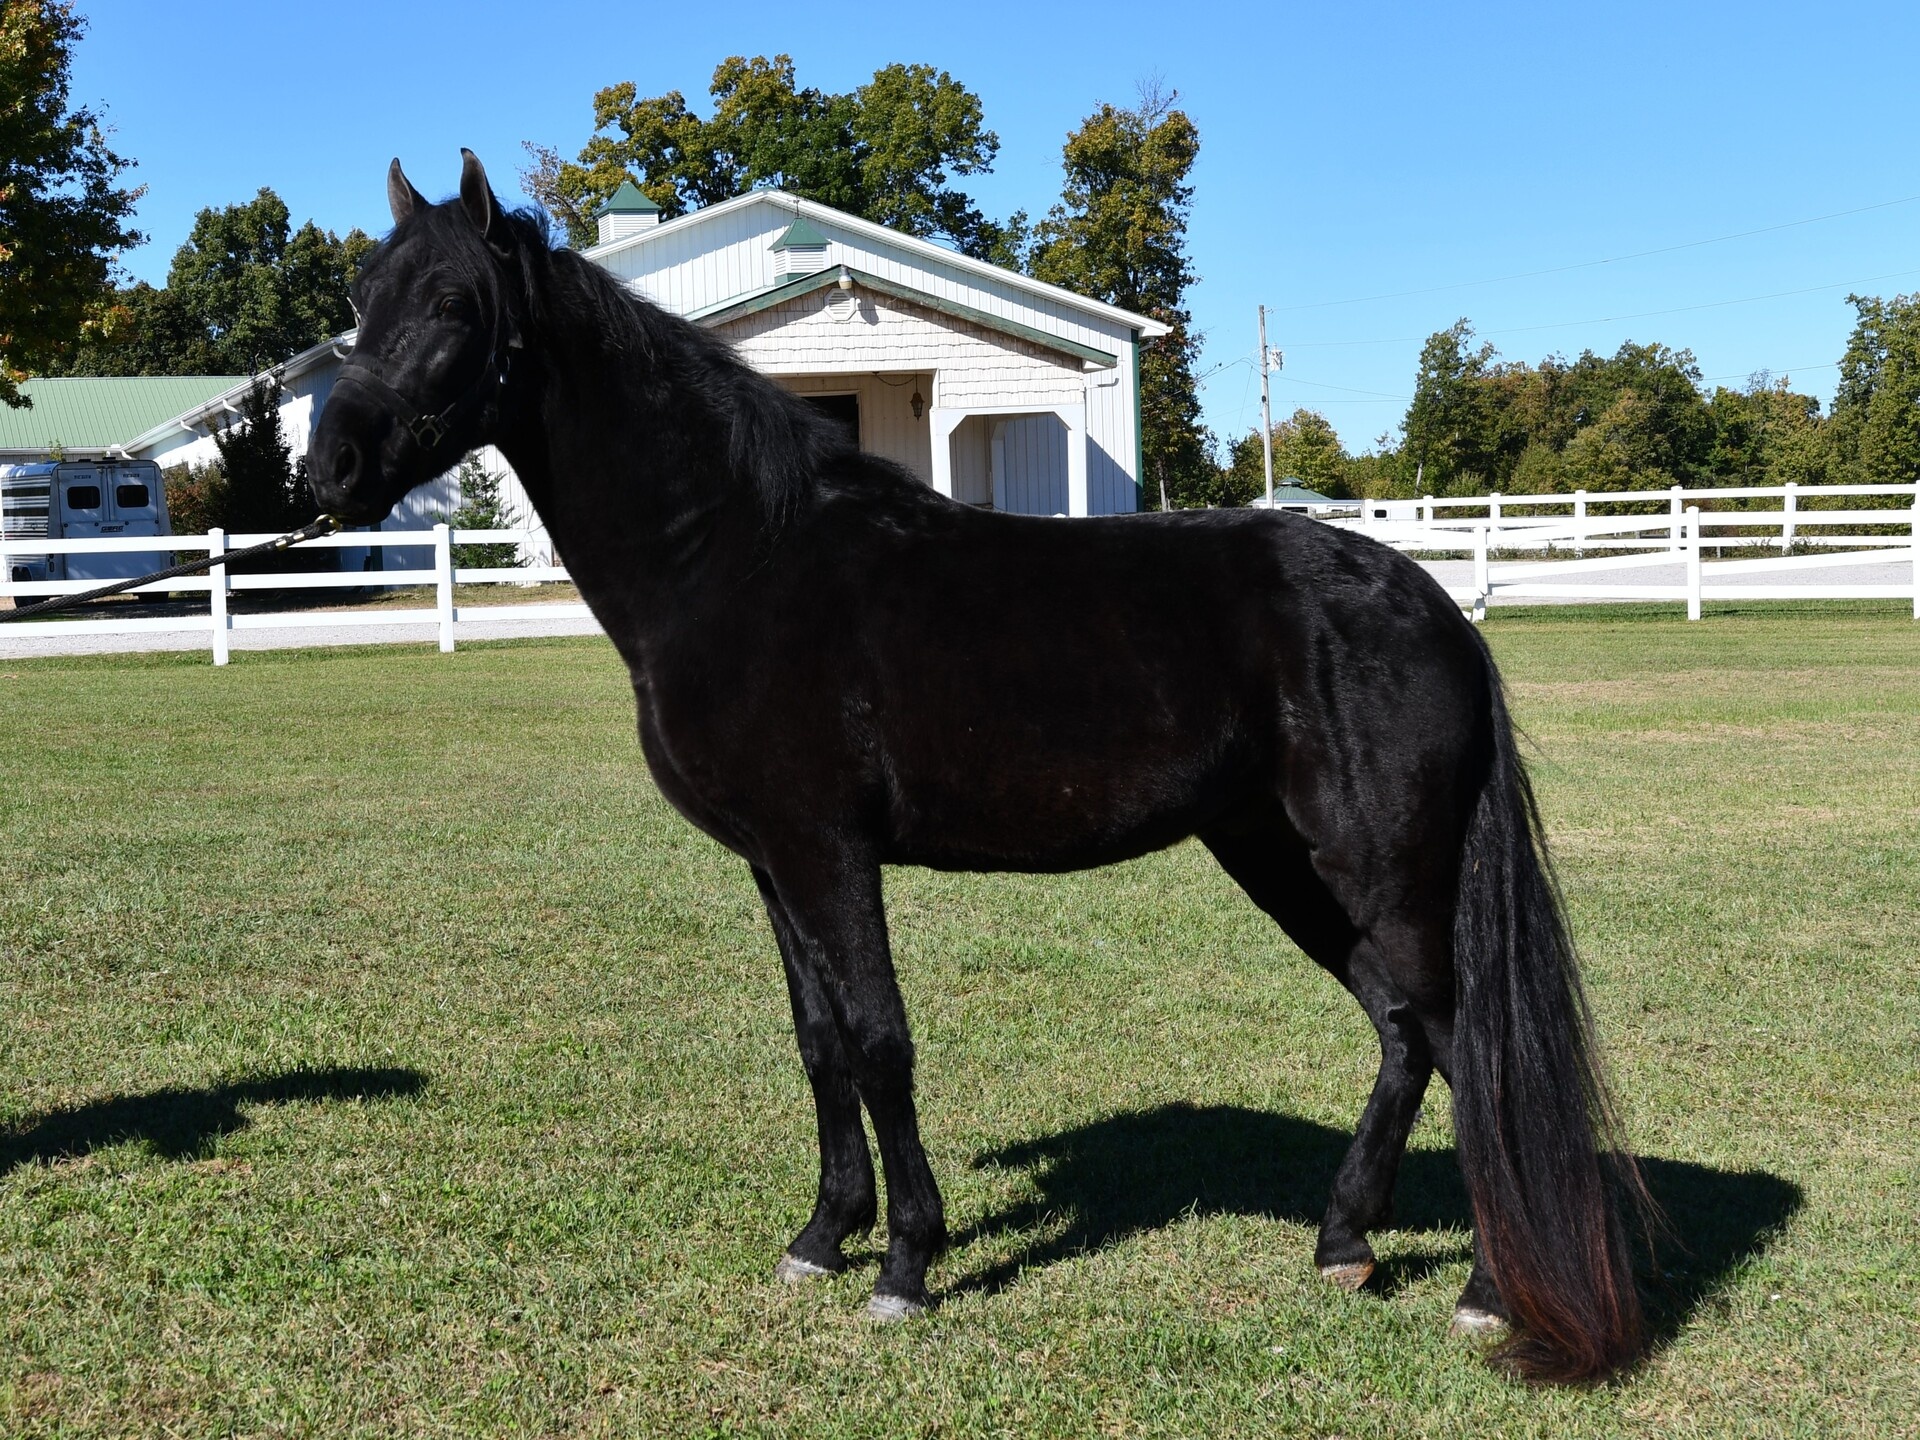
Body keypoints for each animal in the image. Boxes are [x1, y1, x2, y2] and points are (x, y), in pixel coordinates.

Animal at [307, 152, 1651, 1384]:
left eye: (452, 304)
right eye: (362, 293)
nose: (330, 468)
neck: (738, 558)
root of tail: (1437, 610)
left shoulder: (828, 853)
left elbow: (880, 1040)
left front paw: (904, 1265)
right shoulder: (773, 865)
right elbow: (819, 1043)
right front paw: (821, 1239)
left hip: (1378, 866)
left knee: (1465, 1041)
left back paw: (1484, 1295)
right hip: (1282, 859)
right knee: (1403, 1031)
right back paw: (1343, 1246)